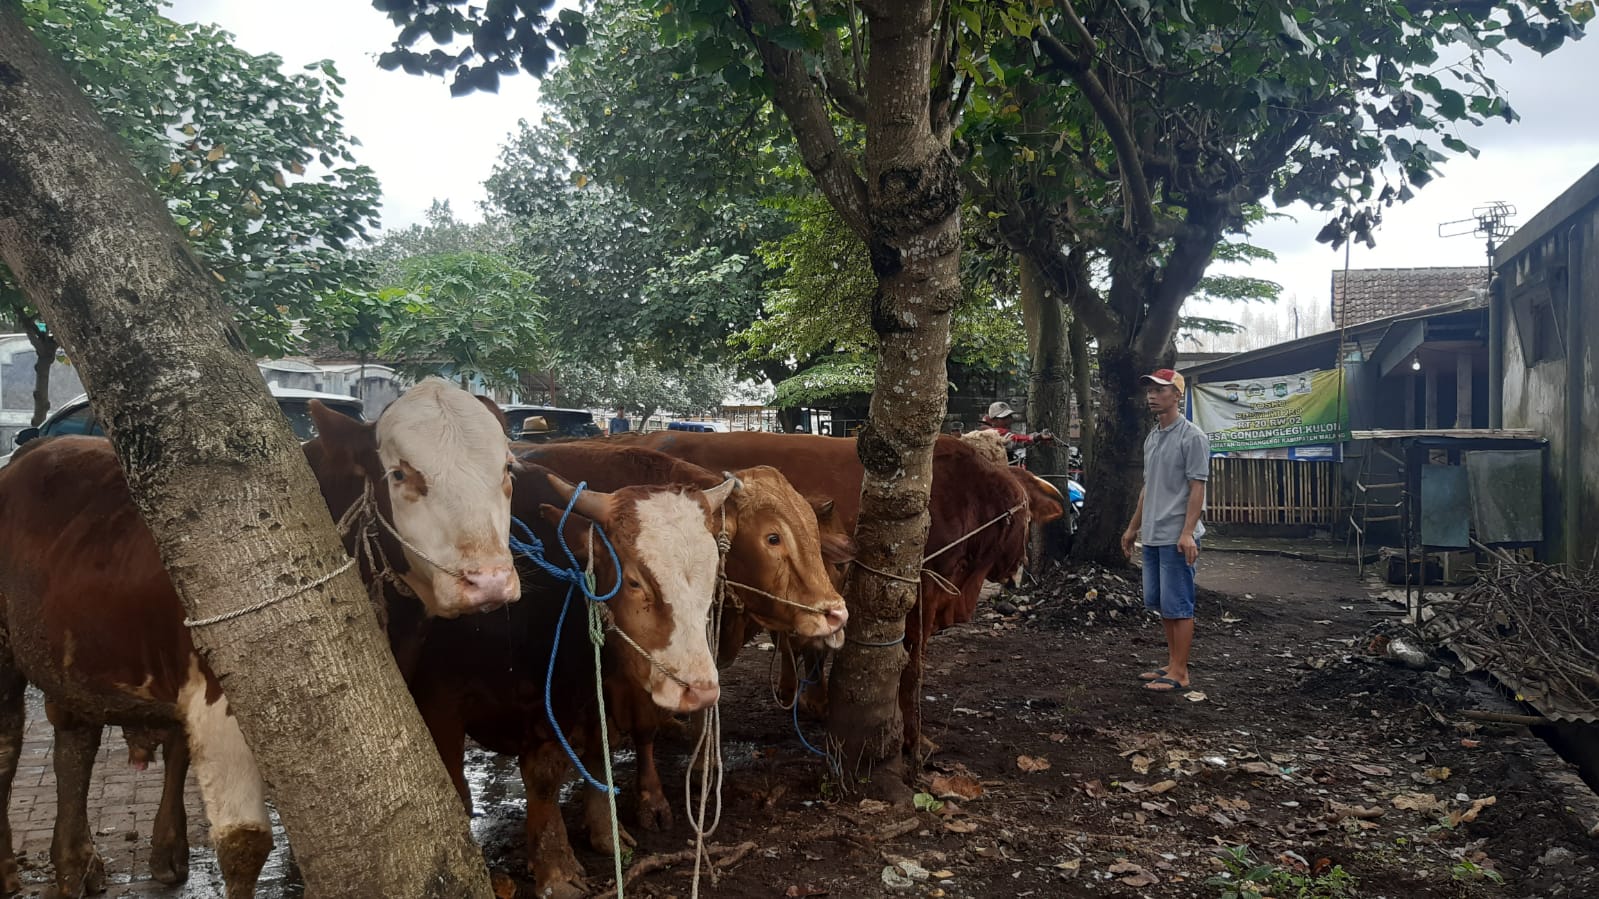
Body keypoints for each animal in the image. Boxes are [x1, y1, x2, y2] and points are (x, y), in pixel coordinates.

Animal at [0, 379, 518, 895]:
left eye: (508, 468)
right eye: (399, 474)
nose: (489, 581)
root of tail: (34, 450)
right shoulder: (219, 701)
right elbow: (243, 843)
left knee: (78, 742)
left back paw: (84, 860)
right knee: (11, 747)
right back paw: (16, 867)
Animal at [406, 457, 741, 889]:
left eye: (710, 579)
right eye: (635, 581)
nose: (699, 691)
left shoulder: (578, 690)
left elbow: (572, 762)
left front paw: (586, 844)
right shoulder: (439, 702)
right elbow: (458, 790)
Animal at [601, 425, 1061, 748]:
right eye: (1024, 520)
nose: (1019, 570)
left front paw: (812, 699)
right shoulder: (920, 597)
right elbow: (910, 669)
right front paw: (914, 740)